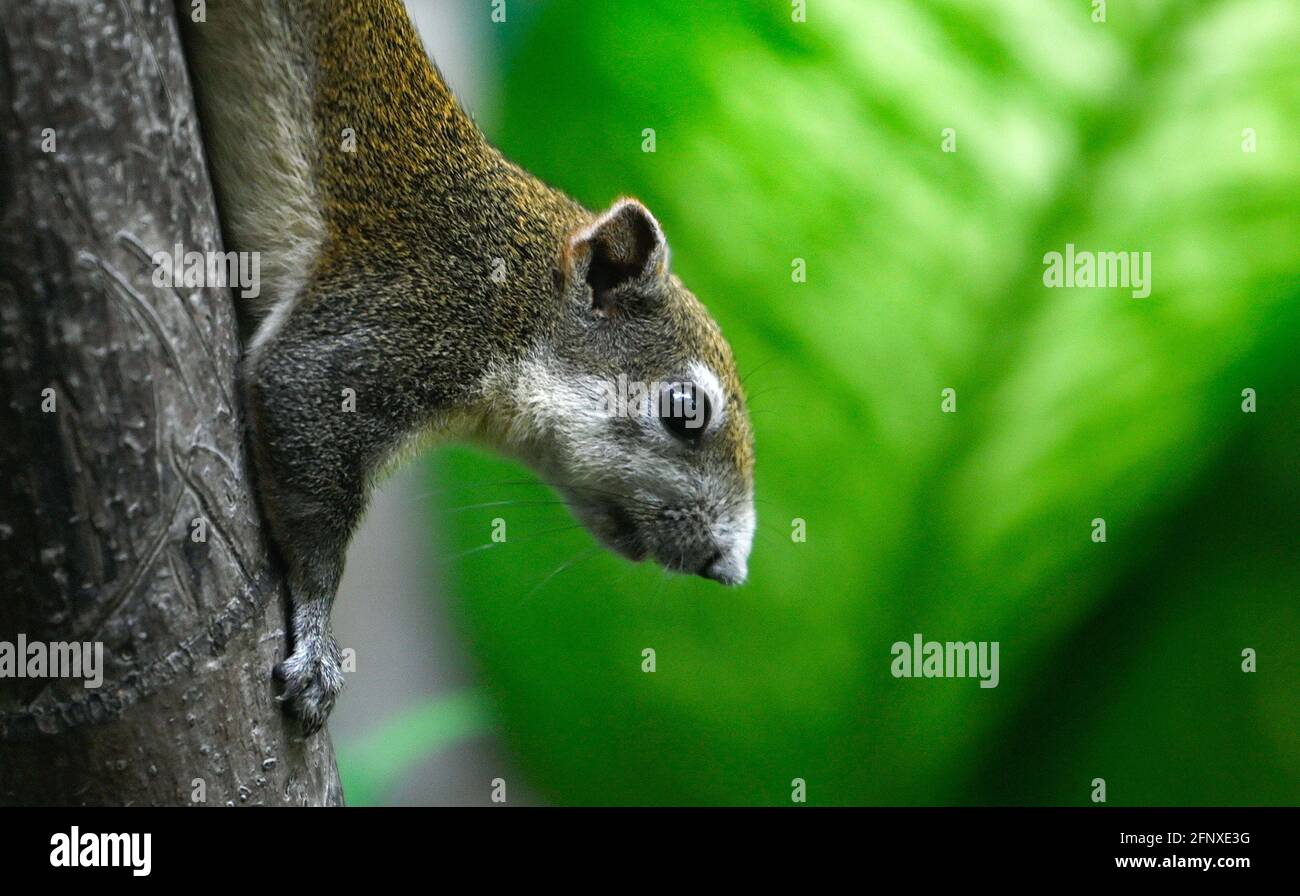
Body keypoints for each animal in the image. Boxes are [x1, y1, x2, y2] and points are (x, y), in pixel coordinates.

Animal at [180, 1, 755, 735]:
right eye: (685, 412)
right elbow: (302, 443)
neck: (514, 302)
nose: (728, 566)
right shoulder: (397, 323)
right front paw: (316, 644)